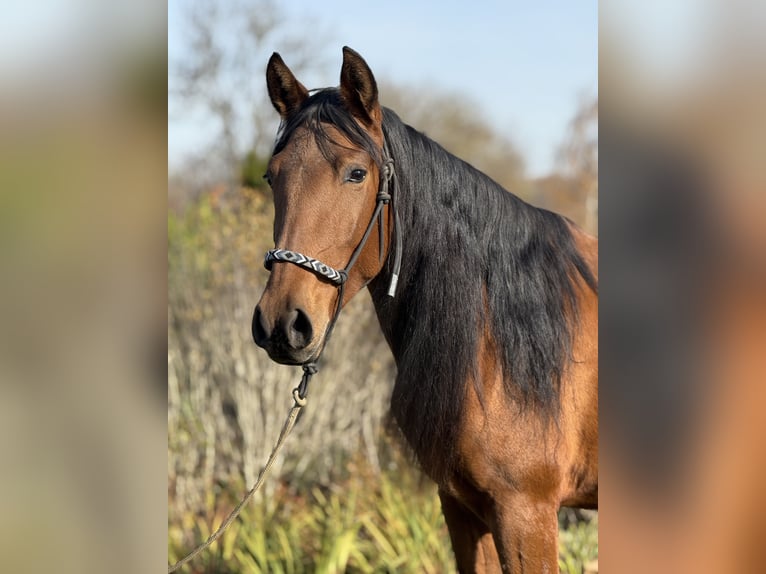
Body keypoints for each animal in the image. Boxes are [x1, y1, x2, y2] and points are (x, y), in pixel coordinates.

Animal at [252, 46, 598, 573]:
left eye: (357, 173)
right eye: (272, 176)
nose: (281, 324)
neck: (494, 347)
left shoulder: (527, 513)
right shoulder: (461, 507)